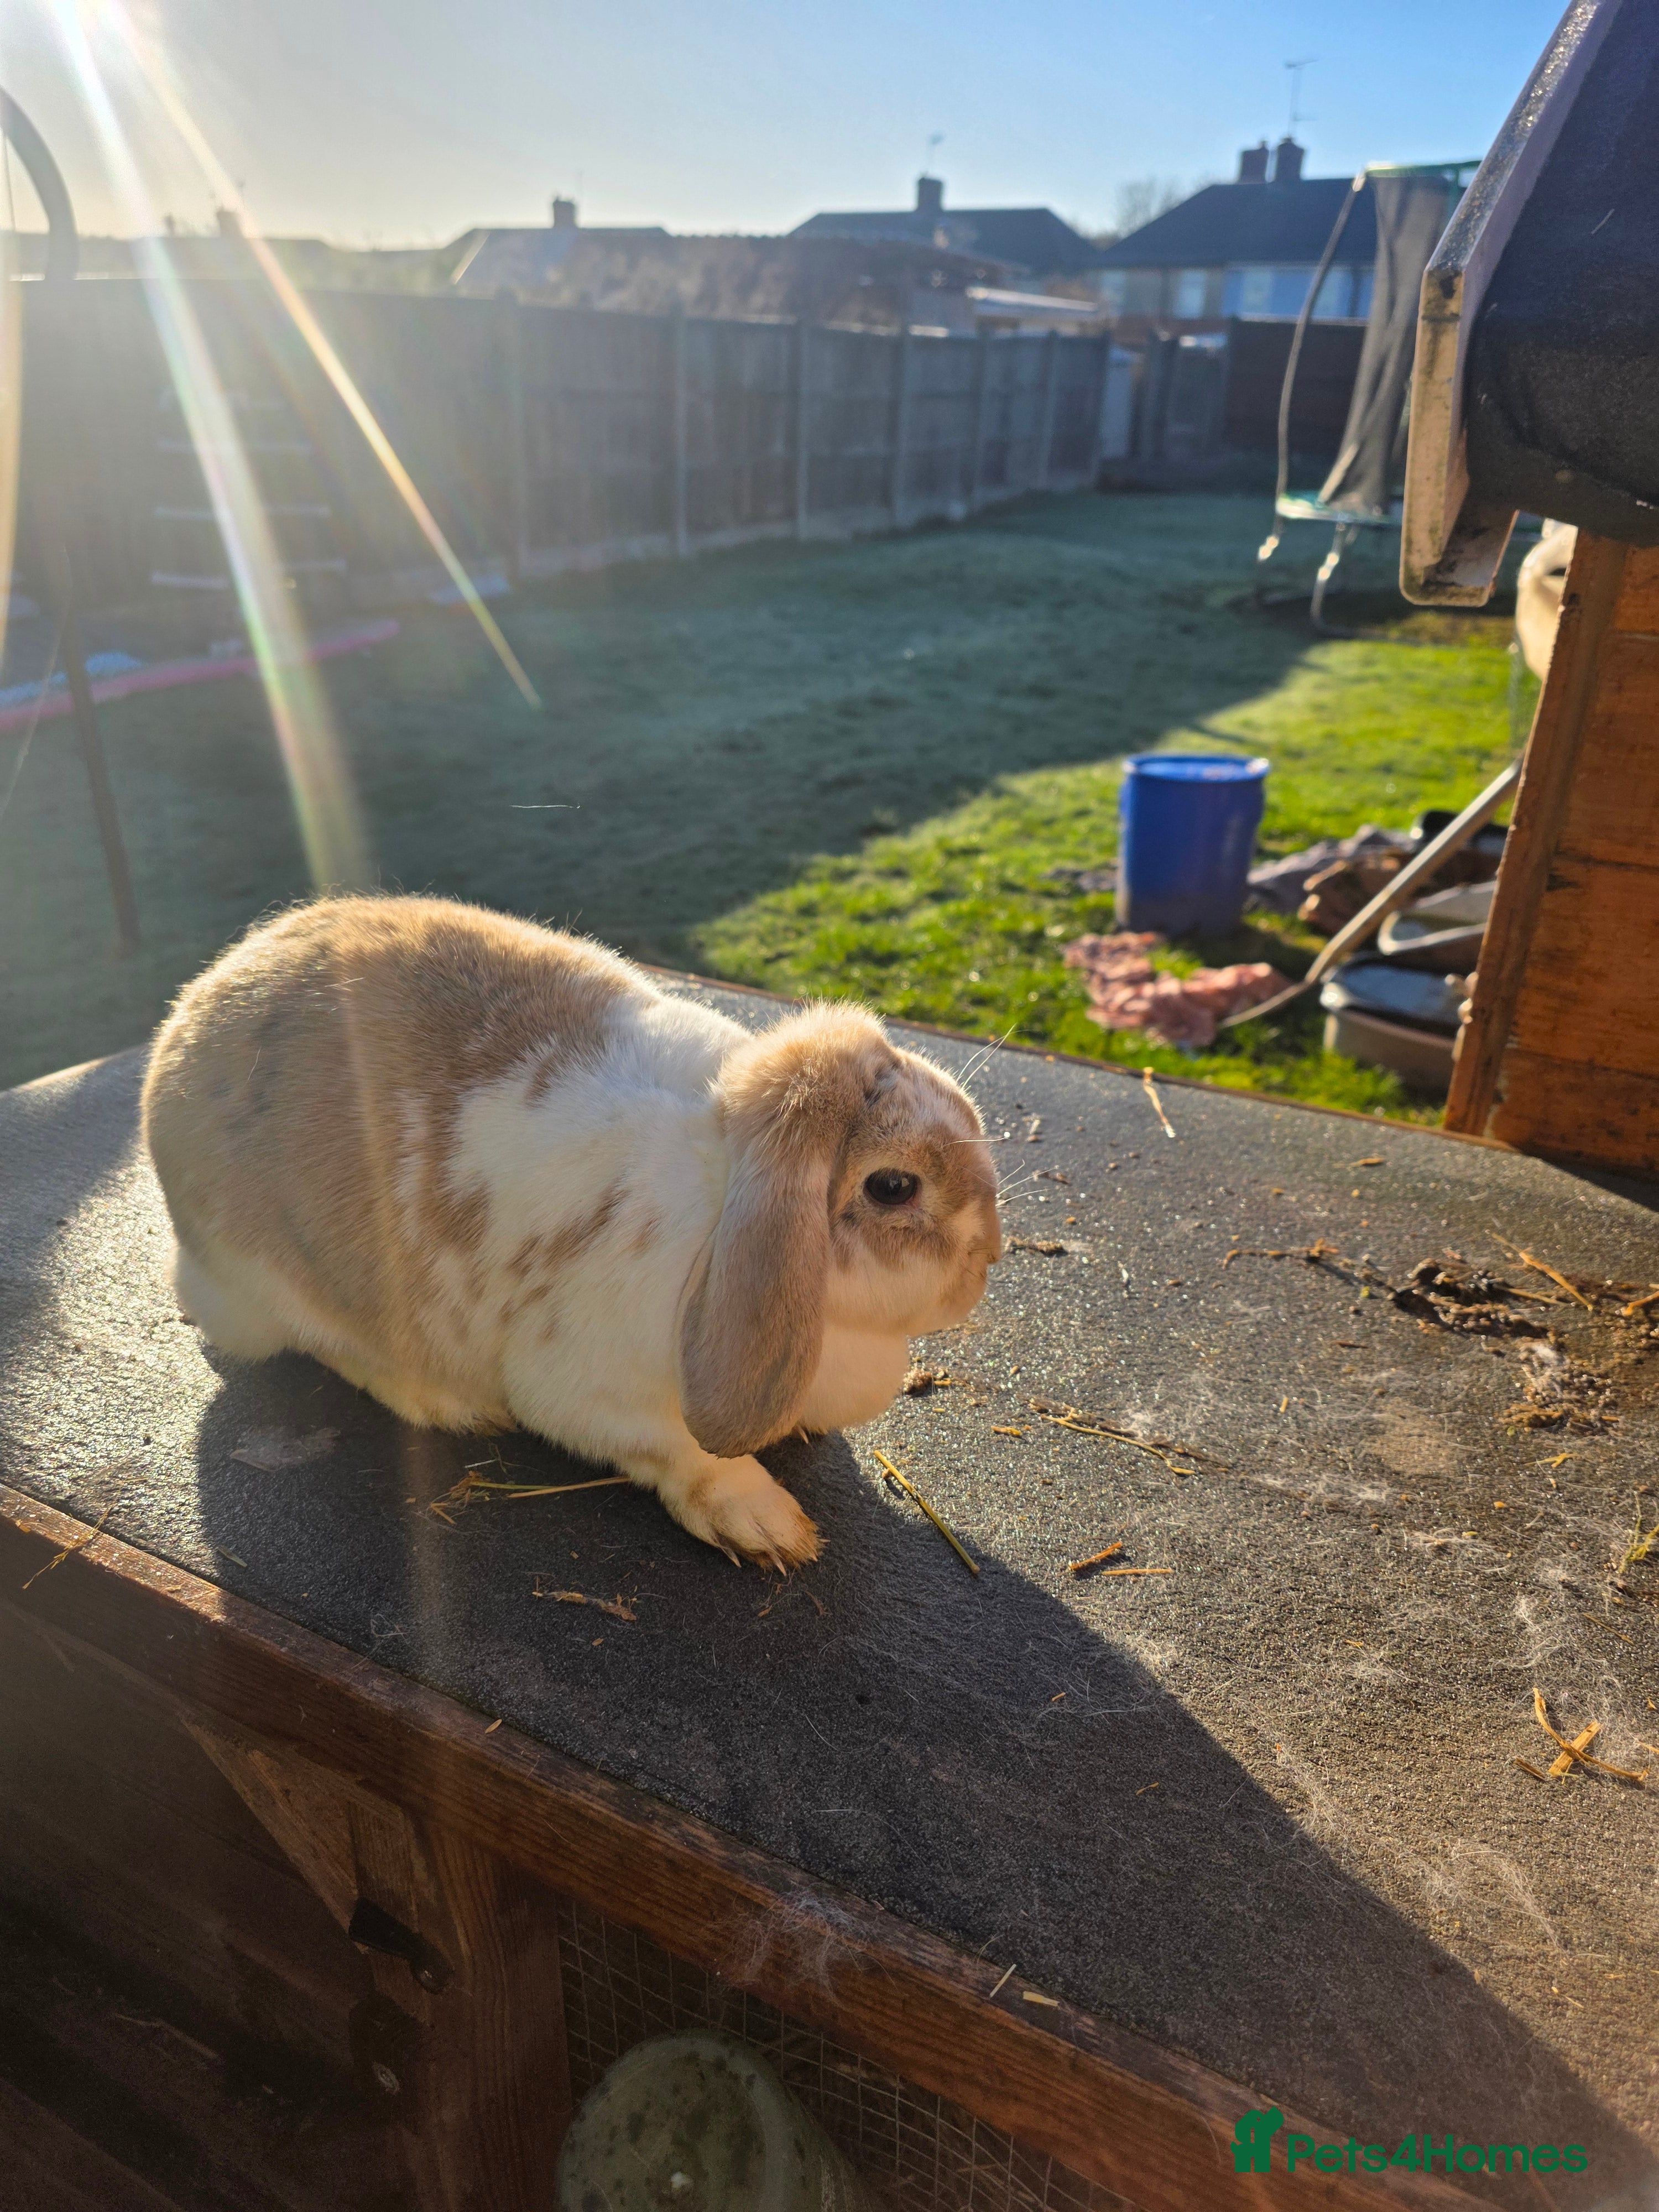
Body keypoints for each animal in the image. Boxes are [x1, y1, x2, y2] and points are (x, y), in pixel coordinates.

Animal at [142, 896, 1002, 1570]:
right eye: (893, 1187)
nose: (988, 1258)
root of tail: (184, 1021)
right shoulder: (592, 1391)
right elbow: (683, 1455)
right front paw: (768, 1527)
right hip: (263, 1292)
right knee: (334, 1347)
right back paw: (446, 1401)